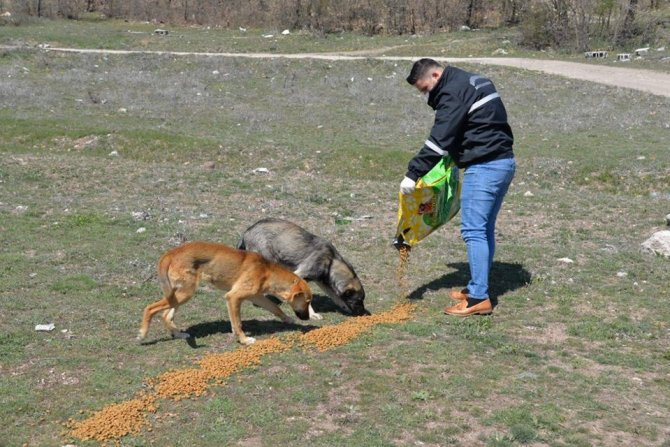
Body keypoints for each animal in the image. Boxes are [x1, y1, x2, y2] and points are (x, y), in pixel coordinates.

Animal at [138, 242, 316, 346]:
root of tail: (171, 253)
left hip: (180, 295)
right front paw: (244, 340)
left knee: (166, 316)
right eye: (307, 301)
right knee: (150, 308)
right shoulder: (233, 297)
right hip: (184, 294)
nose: (307, 317)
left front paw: (287, 319)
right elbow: (238, 323)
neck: (267, 271)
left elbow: (275, 308)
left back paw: (180, 335)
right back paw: (142, 334)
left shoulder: (256, 296)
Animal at [238, 218, 372, 318]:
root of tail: (247, 231)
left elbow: (335, 297)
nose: (364, 314)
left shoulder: (322, 281)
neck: (331, 261)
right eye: (358, 300)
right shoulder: (300, 275)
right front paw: (312, 314)